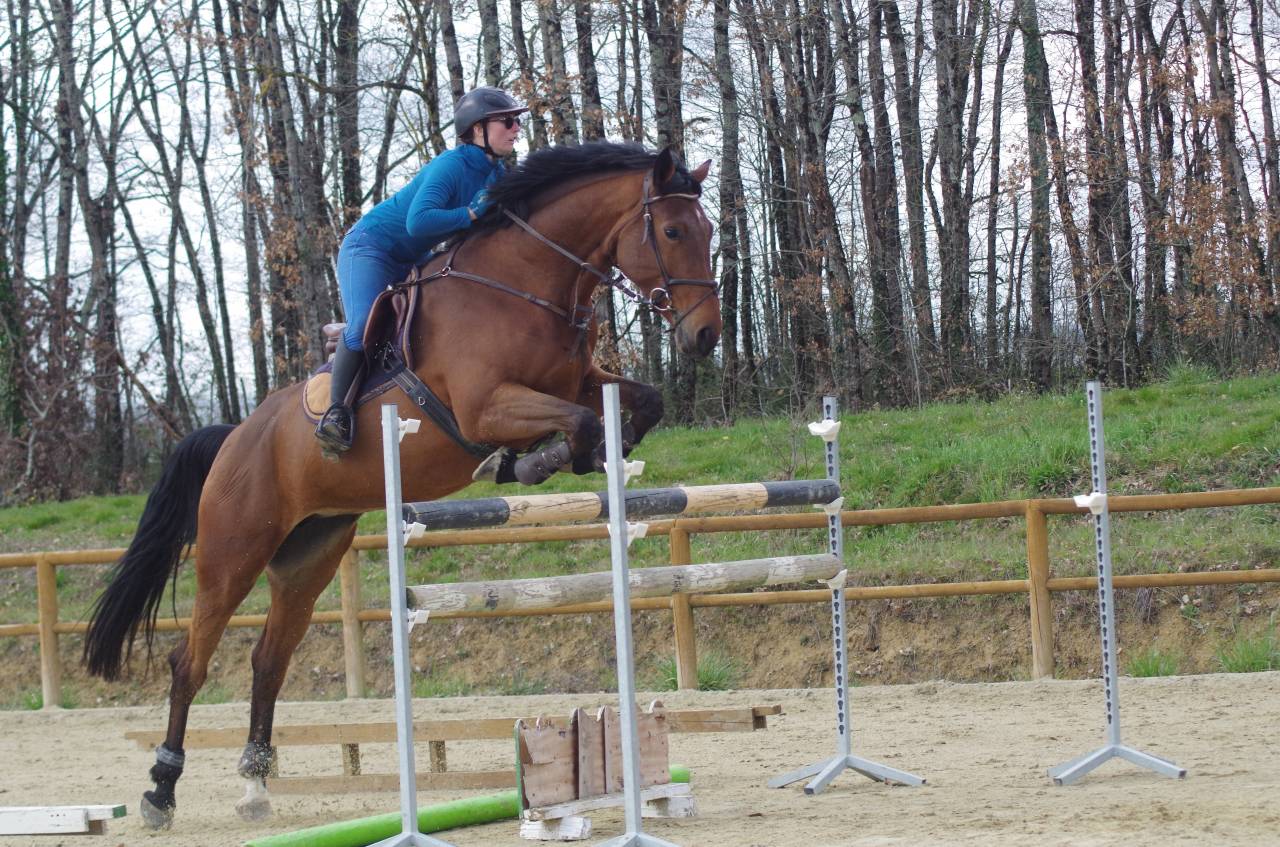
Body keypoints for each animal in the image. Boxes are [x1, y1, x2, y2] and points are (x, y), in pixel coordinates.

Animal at [81, 142, 722, 829]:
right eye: (674, 231)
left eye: (709, 230)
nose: (706, 334)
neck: (526, 282)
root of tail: (234, 437)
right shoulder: (485, 407)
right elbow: (572, 423)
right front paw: (529, 462)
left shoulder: (577, 380)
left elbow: (640, 402)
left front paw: (601, 453)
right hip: (233, 553)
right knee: (190, 663)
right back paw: (161, 789)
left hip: (309, 557)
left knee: (269, 662)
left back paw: (254, 785)